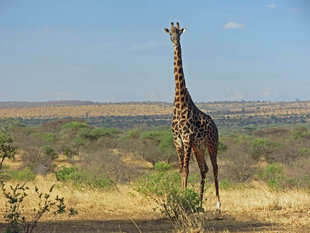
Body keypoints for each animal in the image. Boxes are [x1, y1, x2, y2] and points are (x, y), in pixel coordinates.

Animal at [165, 22, 220, 211]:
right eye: (170, 33)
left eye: (179, 33)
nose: (175, 41)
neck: (180, 105)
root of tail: (215, 126)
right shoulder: (177, 140)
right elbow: (181, 169)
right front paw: (183, 198)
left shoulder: (187, 138)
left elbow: (187, 170)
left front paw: (183, 199)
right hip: (199, 147)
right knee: (204, 169)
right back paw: (199, 204)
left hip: (212, 143)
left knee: (215, 168)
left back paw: (218, 205)